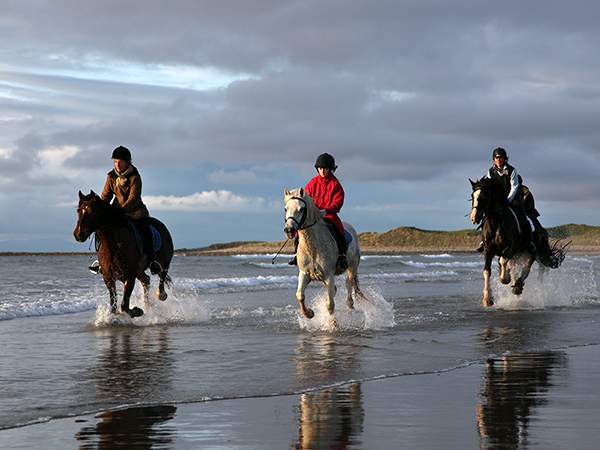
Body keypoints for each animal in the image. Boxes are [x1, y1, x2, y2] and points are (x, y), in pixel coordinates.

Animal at [284, 188, 364, 318]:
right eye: (286, 208)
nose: (289, 230)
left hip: (352, 266)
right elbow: (300, 295)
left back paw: (350, 303)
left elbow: (330, 305)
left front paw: (332, 322)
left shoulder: (328, 276)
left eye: (301, 209)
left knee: (349, 283)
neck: (312, 248)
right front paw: (309, 313)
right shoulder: (304, 274)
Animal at [468, 178, 568, 308]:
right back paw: (516, 284)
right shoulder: (488, 251)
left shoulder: (509, 248)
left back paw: (518, 286)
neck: (496, 223)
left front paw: (505, 279)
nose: (474, 217)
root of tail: (541, 229)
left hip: (533, 253)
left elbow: (503, 262)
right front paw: (487, 300)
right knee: (517, 268)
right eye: (472, 196)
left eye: (483, 197)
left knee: (529, 269)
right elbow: (487, 271)